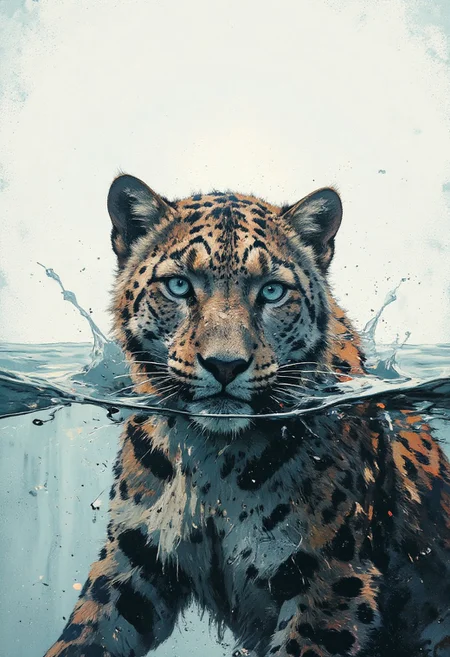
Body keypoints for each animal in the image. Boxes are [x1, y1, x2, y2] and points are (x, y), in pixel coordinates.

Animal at [44, 174, 450, 657]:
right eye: (178, 286)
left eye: (272, 291)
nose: (225, 365)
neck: (212, 464)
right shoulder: (135, 561)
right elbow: (85, 633)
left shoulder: (332, 581)